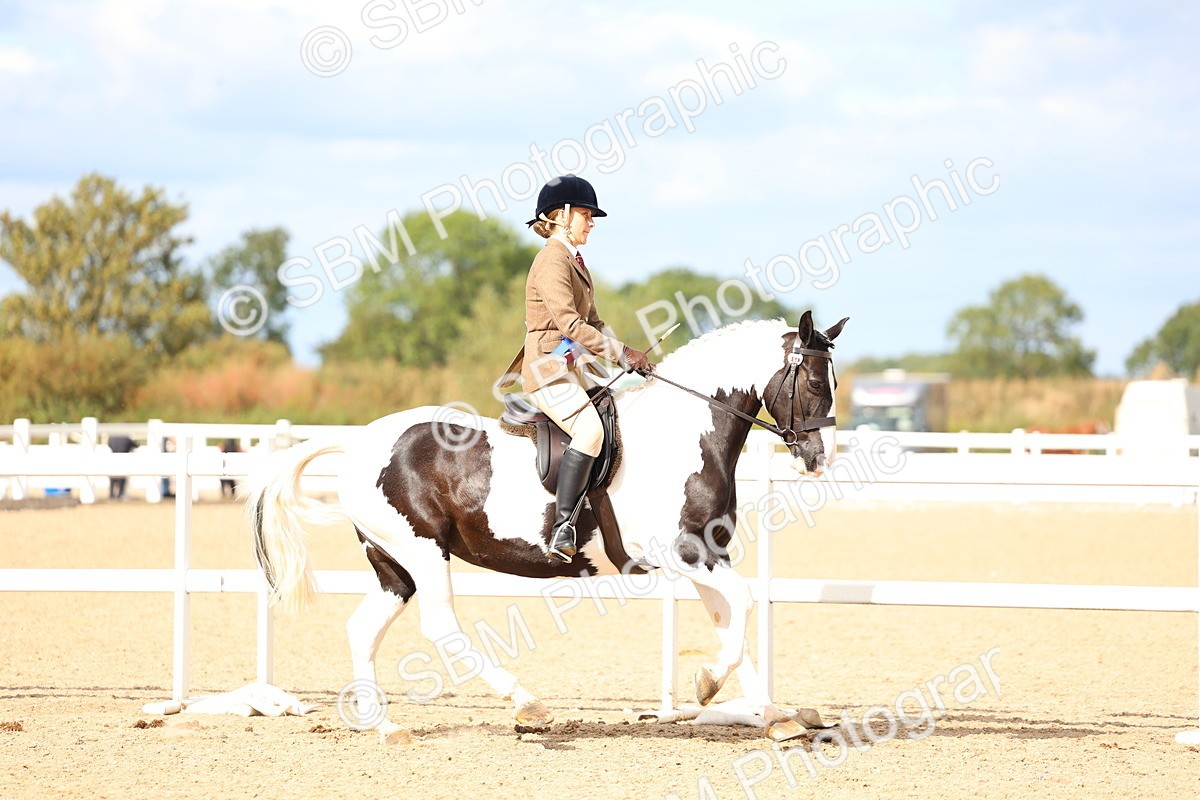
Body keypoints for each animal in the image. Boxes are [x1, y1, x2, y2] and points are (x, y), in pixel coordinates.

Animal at [247, 312, 848, 742]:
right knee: (441, 626)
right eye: (816, 384)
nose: (820, 459)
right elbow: (743, 605)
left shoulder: (707, 555)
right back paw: (526, 706)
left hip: (393, 564)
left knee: (363, 628)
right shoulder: (682, 552)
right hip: (421, 550)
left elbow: (732, 623)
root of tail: (359, 444)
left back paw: (386, 727)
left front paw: (775, 718)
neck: (684, 434)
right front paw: (706, 687)